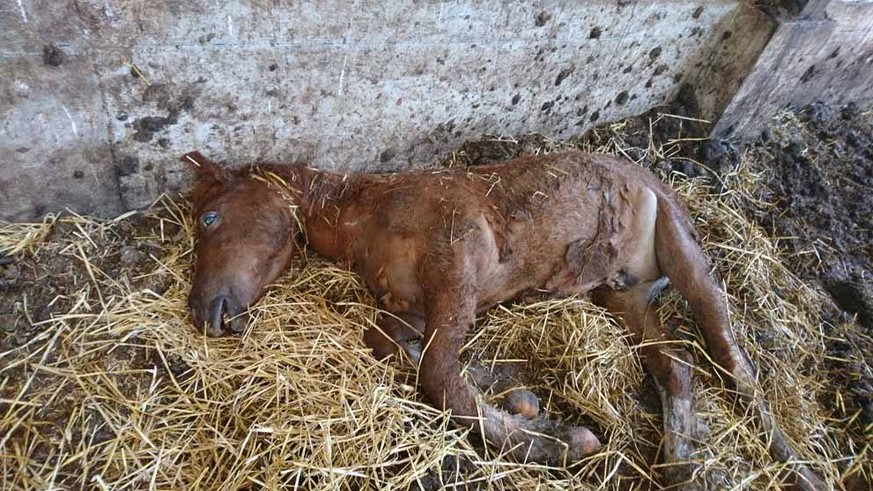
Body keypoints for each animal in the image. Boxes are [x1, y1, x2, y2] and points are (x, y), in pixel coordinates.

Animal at [184, 152, 824, 490]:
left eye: (209, 218)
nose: (203, 311)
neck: (373, 215)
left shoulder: (459, 266)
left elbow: (441, 376)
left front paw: (561, 441)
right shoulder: (412, 306)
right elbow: (402, 349)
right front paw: (523, 402)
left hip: (683, 250)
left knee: (731, 357)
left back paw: (798, 466)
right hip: (622, 294)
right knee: (677, 368)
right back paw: (680, 466)